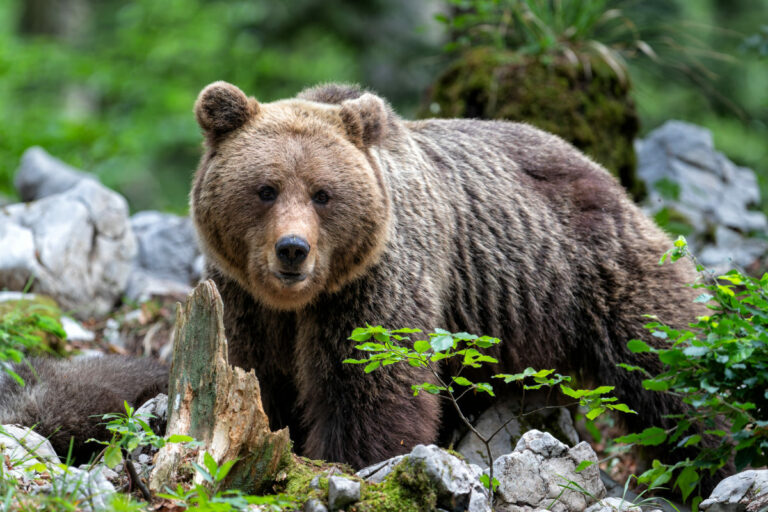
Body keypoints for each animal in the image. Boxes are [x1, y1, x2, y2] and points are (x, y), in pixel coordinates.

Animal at [190, 80, 704, 468]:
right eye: (266, 189)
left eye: (323, 194)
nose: (293, 250)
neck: (297, 302)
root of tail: (606, 176)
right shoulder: (243, 300)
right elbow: (259, 377)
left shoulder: (369, 286)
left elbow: (371, 383)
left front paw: (354, 459)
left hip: (598, 270)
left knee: (672, 370)